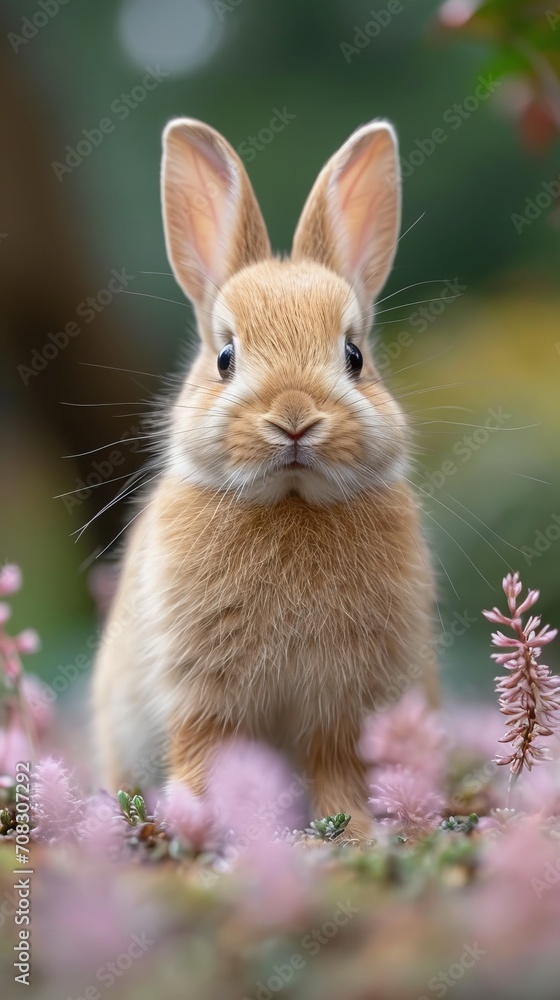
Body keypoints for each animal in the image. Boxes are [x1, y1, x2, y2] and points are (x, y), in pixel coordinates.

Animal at [92, 117, 438, 842]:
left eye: (354, 355)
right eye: (225, 356)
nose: (295, 417)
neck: (289, 502)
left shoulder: (344, 701)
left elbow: (338, 764)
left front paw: (351, 831)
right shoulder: (202, 687)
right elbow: (205, 750)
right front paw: (200, 820)